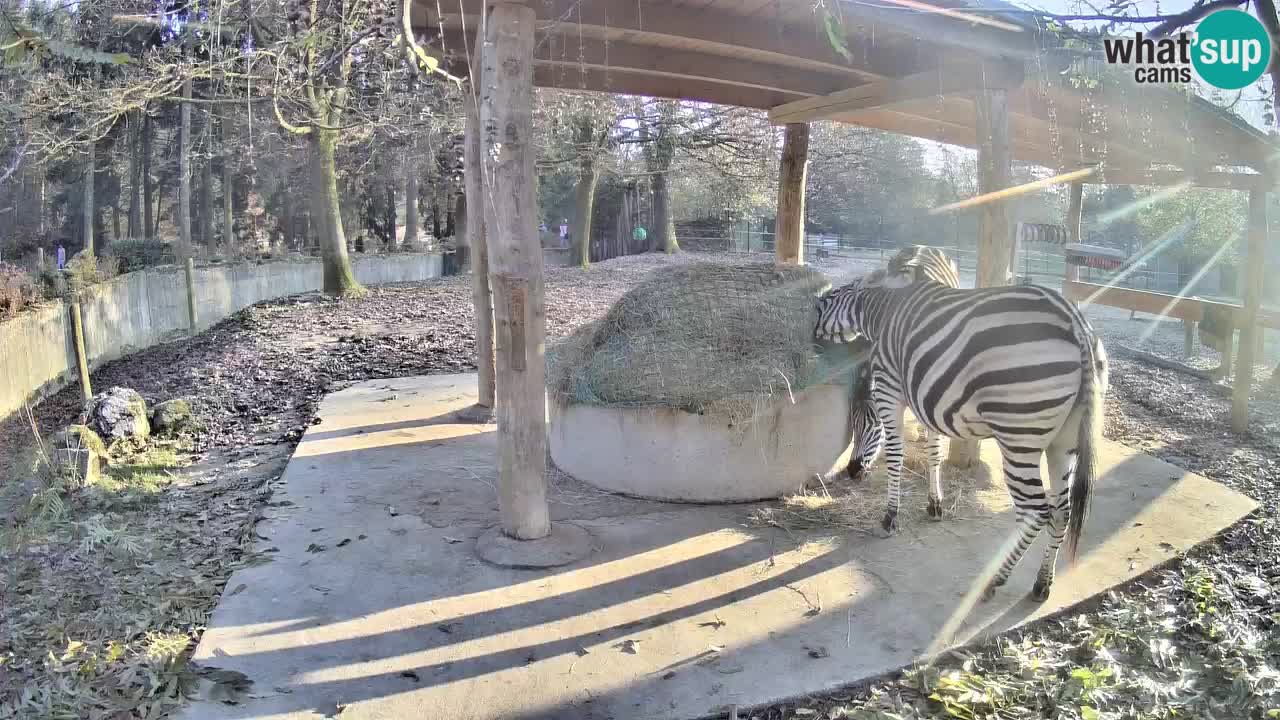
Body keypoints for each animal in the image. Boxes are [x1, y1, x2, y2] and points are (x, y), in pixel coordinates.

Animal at [814, 257, 1105, 599]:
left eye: (868, 423)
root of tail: (1076, 324)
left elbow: (896, 455)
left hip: (1019, 437)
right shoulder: (928, 397)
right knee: (1062, 510)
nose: (852, 471)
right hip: (1064, 440)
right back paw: (1042, 583)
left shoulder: (890, 388)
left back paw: (996, 579)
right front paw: (934, 504)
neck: (882, 311)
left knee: (1036, 511)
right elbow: (934, 451)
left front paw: (890, 517)